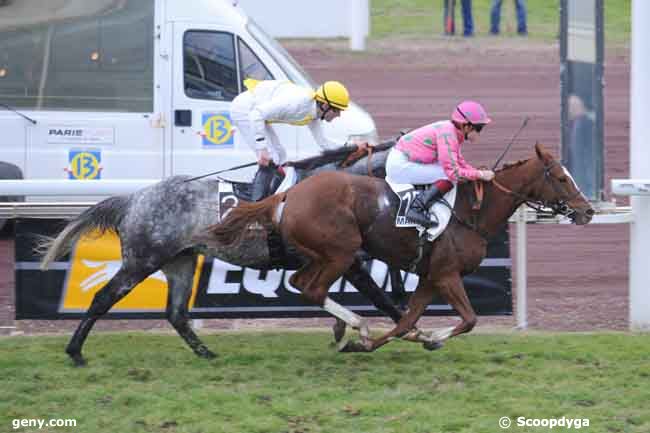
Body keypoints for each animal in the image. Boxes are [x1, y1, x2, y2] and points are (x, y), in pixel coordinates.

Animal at [40, 142, 402, 364]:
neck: (343, 188)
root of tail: (133, 199)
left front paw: (343, 332)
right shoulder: (347, 260)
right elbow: (382, 298)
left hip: (181, 262)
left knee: (176, 314)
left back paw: (206, 354)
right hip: (142, 261)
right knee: (103, 298)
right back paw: (75, 352)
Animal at [208, 144, 592, 352]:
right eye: (561, 177)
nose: (587, 210)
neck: (471, 212)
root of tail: (289, 193)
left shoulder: (430, 276)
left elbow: (406, 320)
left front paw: (381, 343)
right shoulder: (447, 274)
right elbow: (467, 320)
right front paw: (429, 337)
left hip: (324, 254)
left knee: (300, 283)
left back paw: (353, 331)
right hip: (342, 252)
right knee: (313, 288)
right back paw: (358, 325)